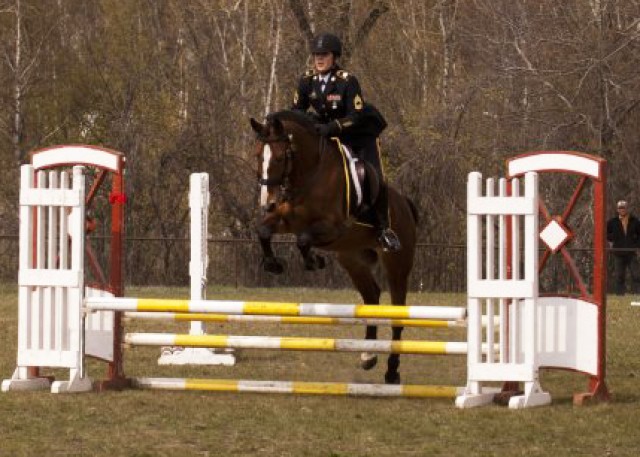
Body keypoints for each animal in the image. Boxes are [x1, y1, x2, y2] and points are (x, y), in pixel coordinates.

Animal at [250, 110, 420, 384]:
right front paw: (273, 264)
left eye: (279, 157)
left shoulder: (333, 229)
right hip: (352, 259)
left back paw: (392, 371)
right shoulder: (286, 221)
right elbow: (264, 231)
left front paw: (314, 261)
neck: (309, 173)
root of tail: (405, 203)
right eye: (257, 155)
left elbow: (303, 240)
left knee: (398, 312)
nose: (268, 203)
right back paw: (368, 355)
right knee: (372, 297)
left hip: (397, 264)